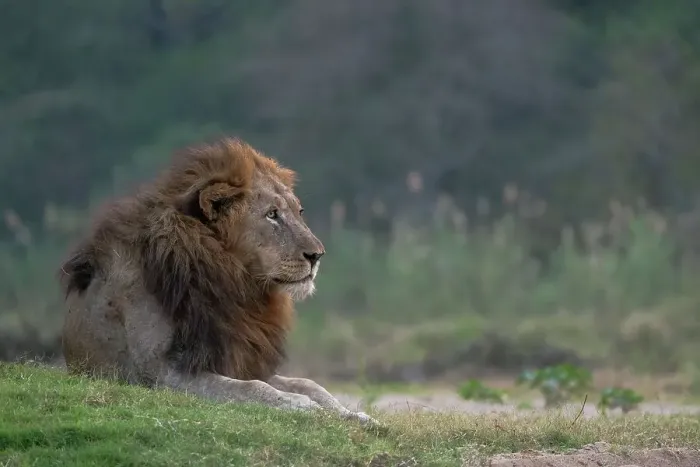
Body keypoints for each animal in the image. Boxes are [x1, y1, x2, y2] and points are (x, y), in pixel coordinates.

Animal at [58, 137, 377, 426]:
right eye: (272, 215)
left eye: (299, 212)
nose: (317, 255)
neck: (235, 286)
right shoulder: (159, 372)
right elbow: (254, 389)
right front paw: (305, 407)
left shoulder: (235, 358)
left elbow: (308, 384)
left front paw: (356, 416)